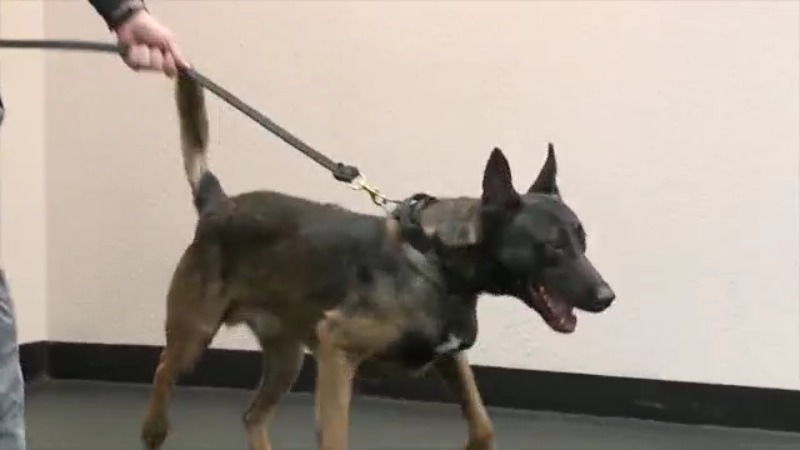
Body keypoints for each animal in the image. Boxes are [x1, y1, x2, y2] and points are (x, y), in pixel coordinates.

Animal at [141, 74, 616, 450]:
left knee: (253, 415)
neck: (438, 258)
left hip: (287, 358)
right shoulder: (336, 350)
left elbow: (483, 427)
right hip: (197, 332)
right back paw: (154, 427)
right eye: (552, 246)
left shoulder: (451, 359)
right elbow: (336, 439)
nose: (607, 296)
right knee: (164, 368)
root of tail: (217, 203)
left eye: (582, 241)